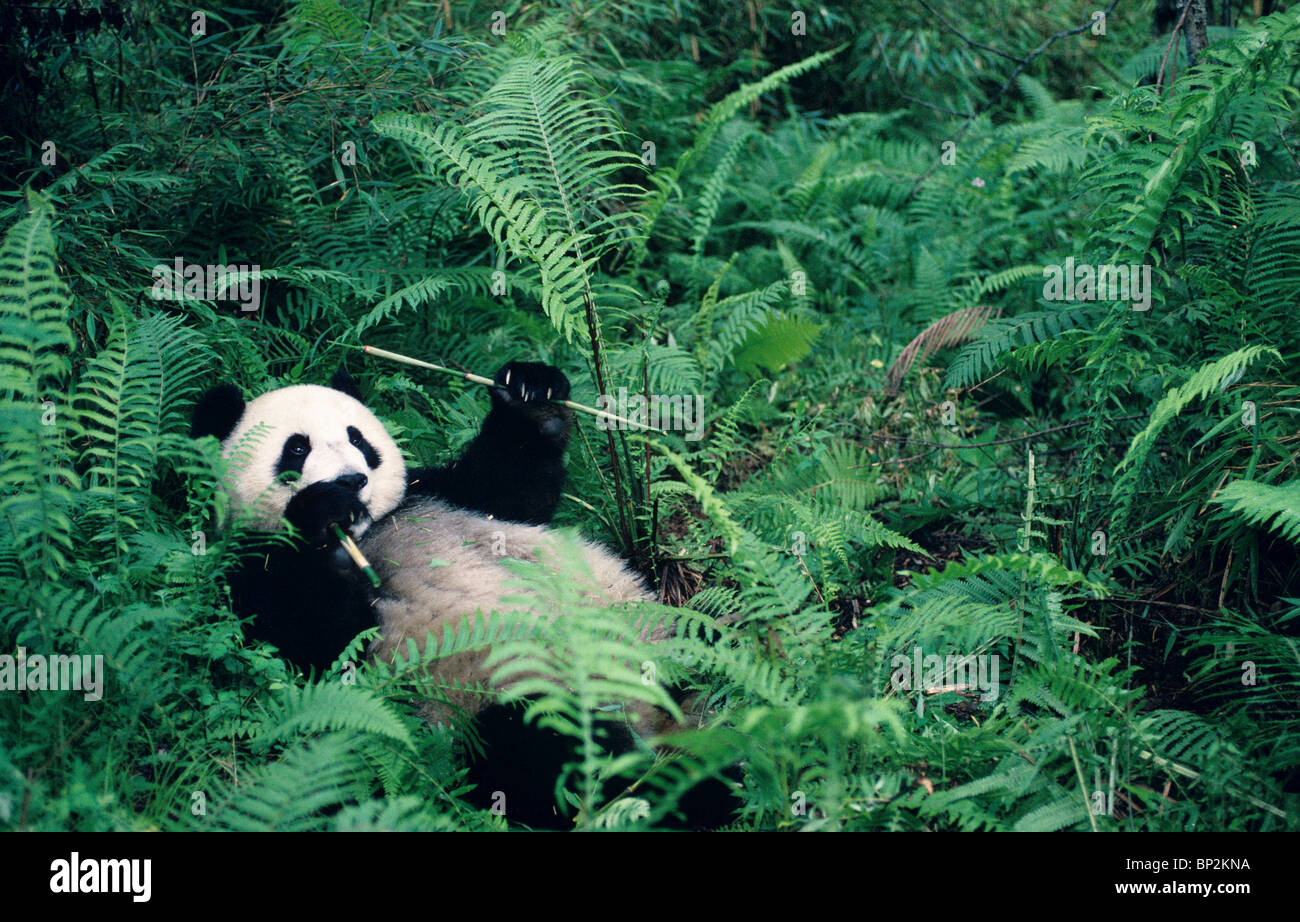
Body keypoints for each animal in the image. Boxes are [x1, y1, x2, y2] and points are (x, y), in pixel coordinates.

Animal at [191, 361, 728, 827]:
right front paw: (323, 513)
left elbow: (512, 486)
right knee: (553, 752)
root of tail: (652, 716)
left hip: (656, 624)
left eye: (357, 438)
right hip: (488, 697)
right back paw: (700, 785)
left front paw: (530, 392)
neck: (369, 531)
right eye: (297, 450)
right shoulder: (248, 573)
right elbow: (319, 637)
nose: (352, 480)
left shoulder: (436, 495)